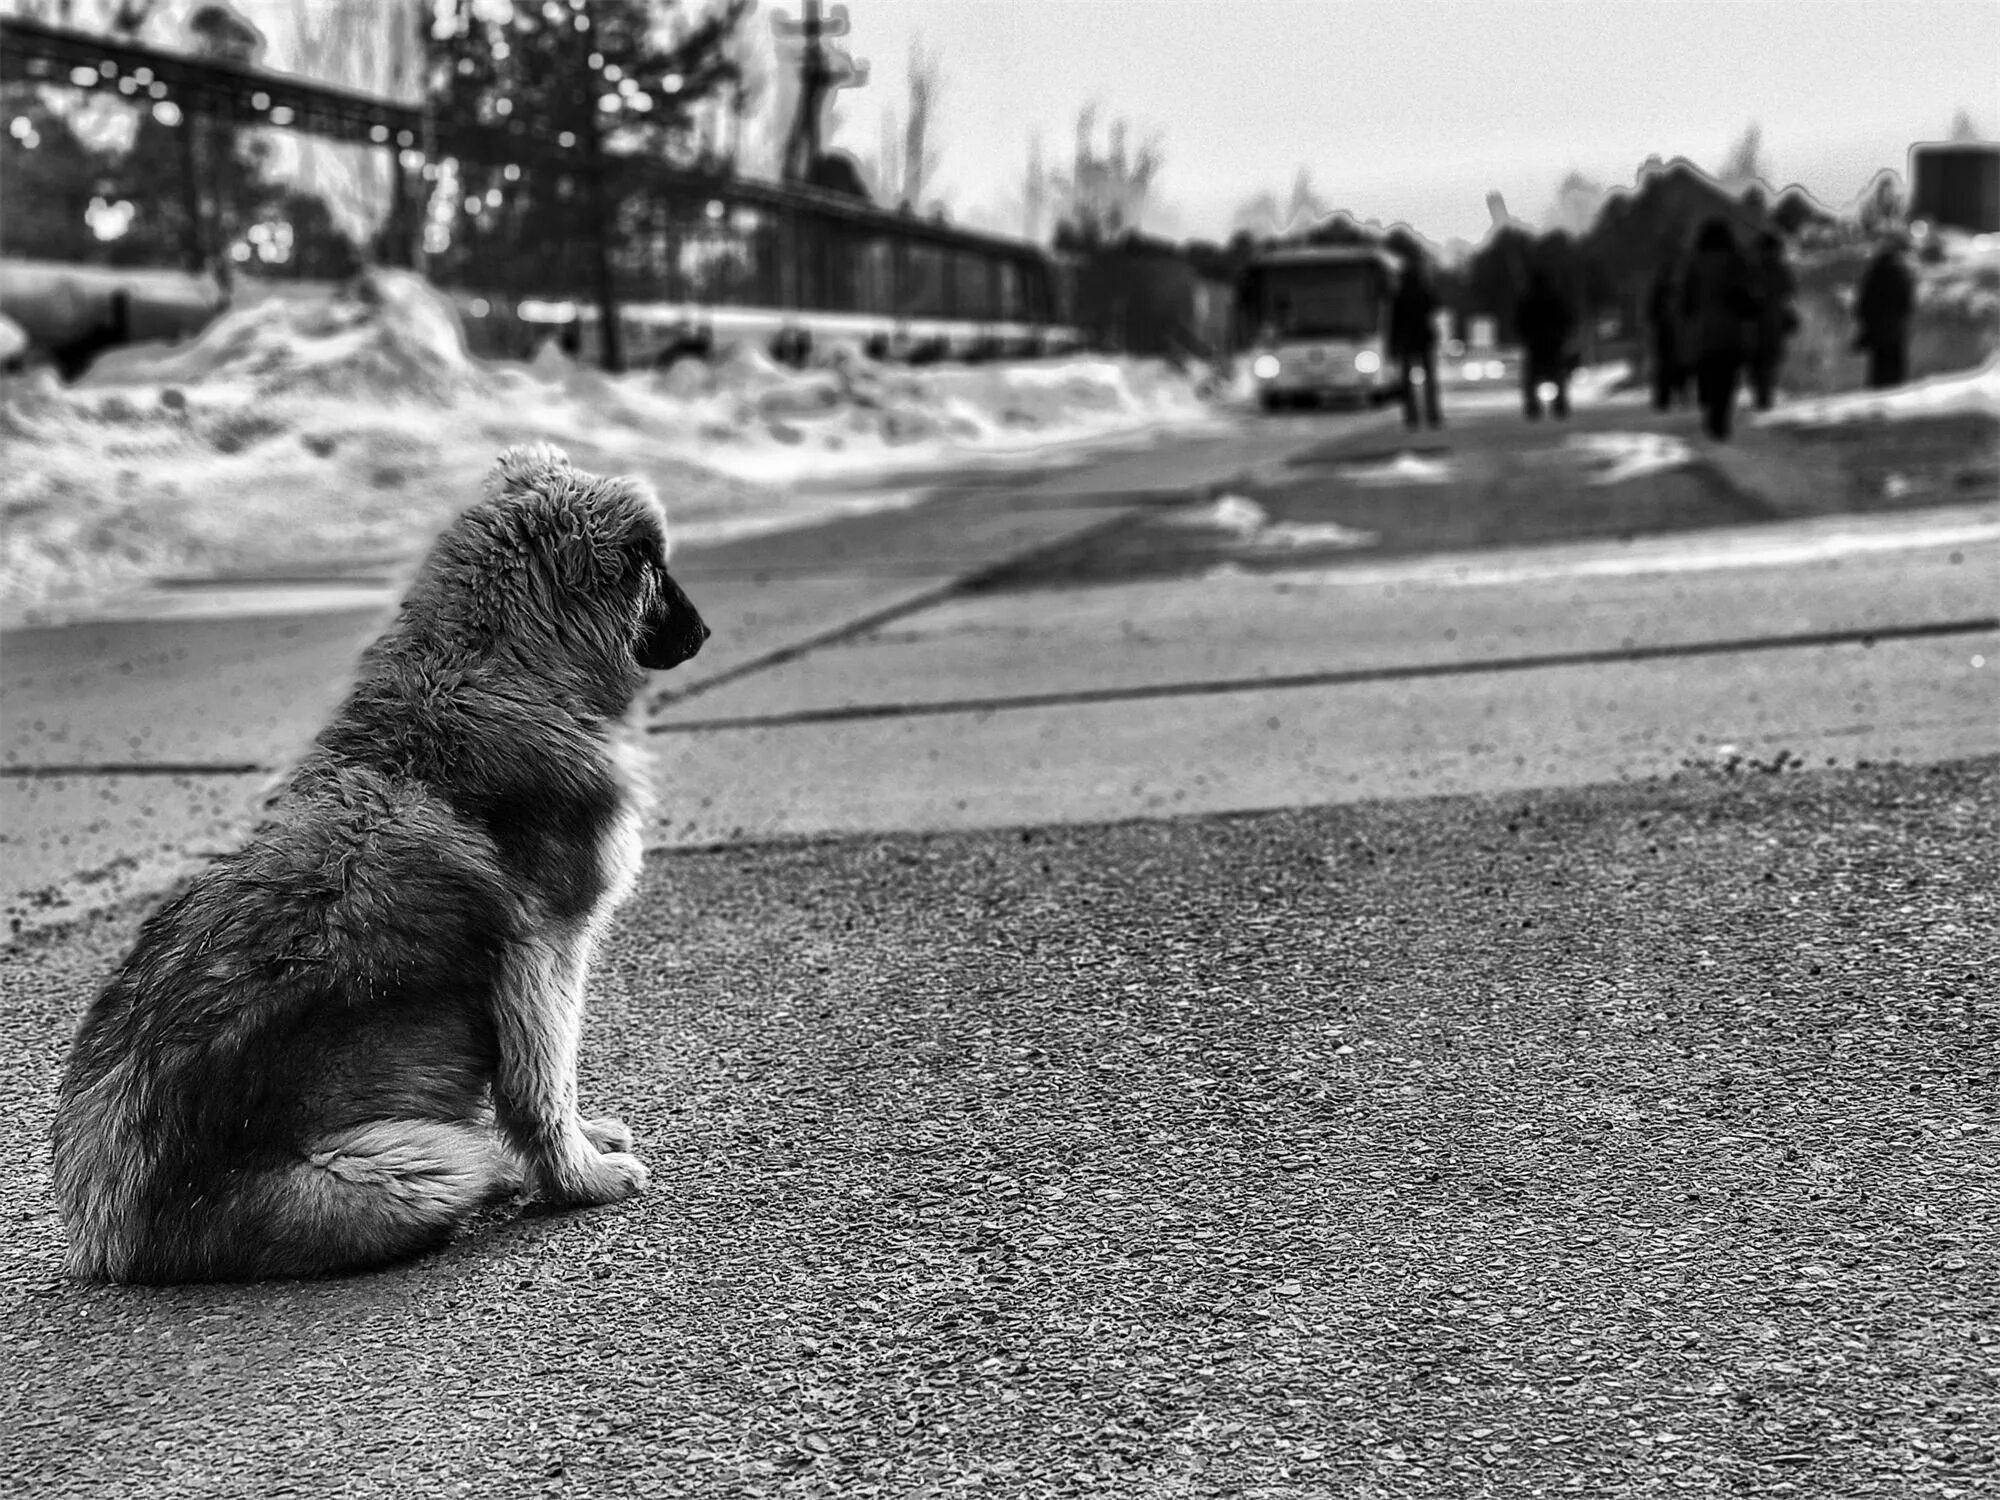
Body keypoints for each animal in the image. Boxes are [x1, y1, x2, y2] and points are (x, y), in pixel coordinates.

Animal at [48, 440, 712, 1288]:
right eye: (655, 567)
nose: (705, 632)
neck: (483, 661)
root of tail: (106, 1232)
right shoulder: (544, 952)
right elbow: (543, 1083)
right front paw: (581, 1179)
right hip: (412, 1162)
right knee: (463, 1158)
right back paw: (504, 1168)